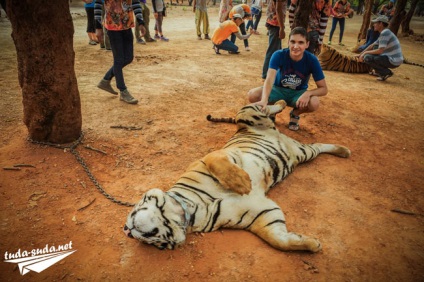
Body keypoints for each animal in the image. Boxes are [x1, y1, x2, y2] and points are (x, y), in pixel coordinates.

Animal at [123, 100, 352, 252]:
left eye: (134, 212)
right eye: (153, 243)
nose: (128, 230)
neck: (189, 211)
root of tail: (283, 137)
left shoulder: (210, 158)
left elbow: (219, 164)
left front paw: (243, 184)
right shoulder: (262, 213)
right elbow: (278, 239)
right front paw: (313, 244)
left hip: (246, 115)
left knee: (262, 107)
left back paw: (282, 103)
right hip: (303, 153)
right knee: (318, 146)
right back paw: (344, 151)